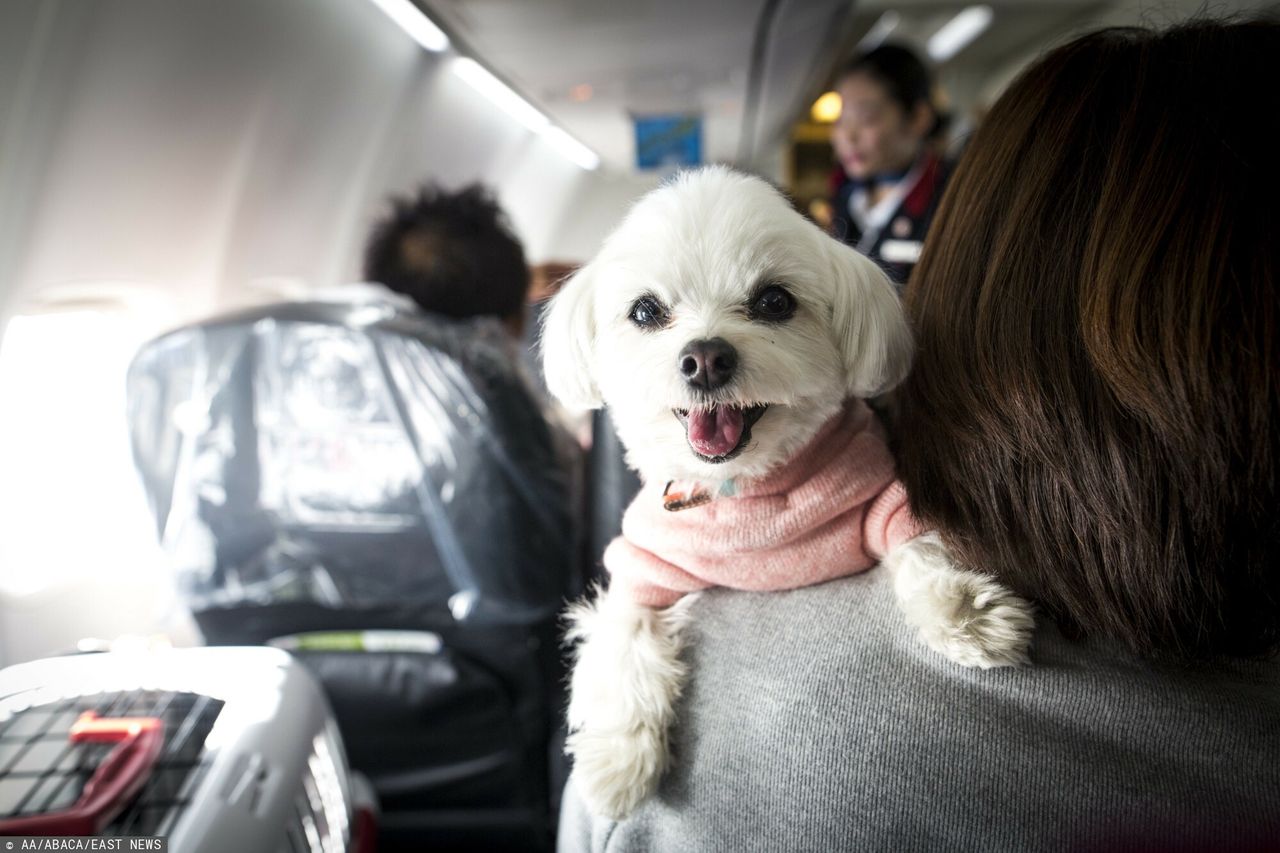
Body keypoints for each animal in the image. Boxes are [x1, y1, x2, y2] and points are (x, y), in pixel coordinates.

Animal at [537, 163, 1029, 819]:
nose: (705, 358)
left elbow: (918, 544)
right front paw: (617, 759)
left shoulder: (879, 495)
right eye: (645, 311)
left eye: (774, 301)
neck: (745, 491)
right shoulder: (643, 563)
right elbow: (625, 636)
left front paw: (968, 615)